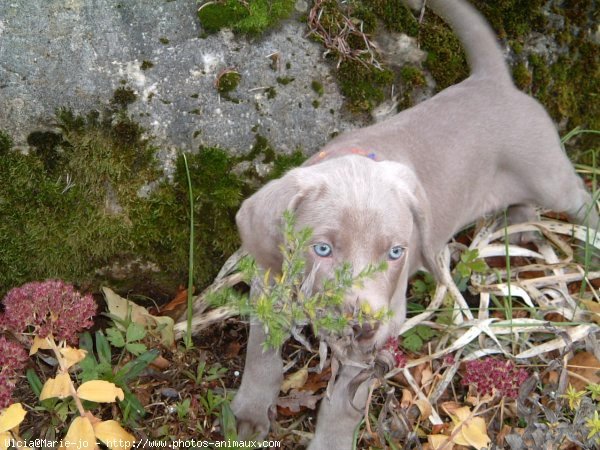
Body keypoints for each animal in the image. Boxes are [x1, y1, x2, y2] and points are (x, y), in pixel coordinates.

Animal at [229, 1, 596, 448]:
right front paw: (248, 414)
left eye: (396, 253)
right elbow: (260, 352)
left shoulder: (381, 329)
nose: (363, 326)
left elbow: (344, 404)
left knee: (581, 199)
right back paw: (520, 229)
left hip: (547, 174)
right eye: (322, 249)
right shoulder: (270, 285)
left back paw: (588, 248)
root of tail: (491, 80)